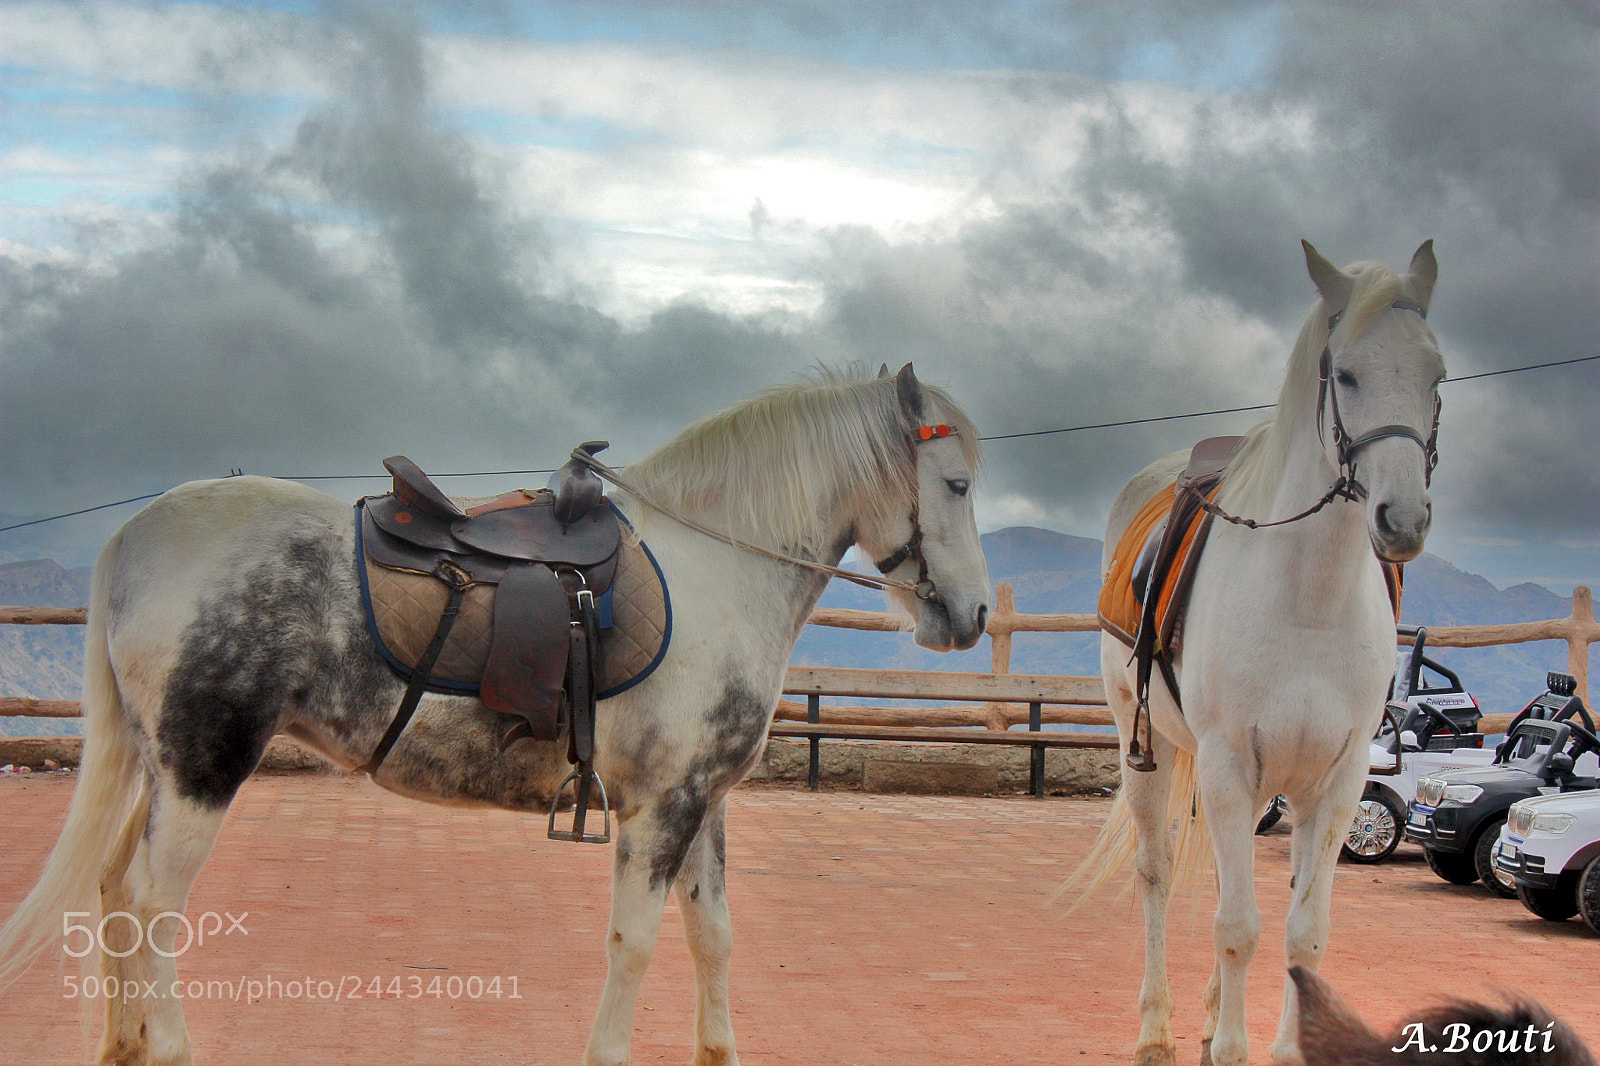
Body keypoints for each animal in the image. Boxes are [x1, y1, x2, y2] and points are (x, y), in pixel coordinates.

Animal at [0, 363, 991, 1066]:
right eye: (954, 484)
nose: (973, 615)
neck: (716, 569)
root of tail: (136, 536)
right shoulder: (659, 808)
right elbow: (635, 942)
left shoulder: (703, 802)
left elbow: (713, 938)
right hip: (206, 763)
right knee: (152, 903)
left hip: (159, 764)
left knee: (114, 893)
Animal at [1074, 241, 1445, 1066]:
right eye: (1346, 373)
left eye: (1436, 374)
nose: (1401, 519)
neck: (1308, 600)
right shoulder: (1226, 765)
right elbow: (1238, 927)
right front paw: (1230, 1049)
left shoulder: (1336, 782)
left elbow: (1304, 935)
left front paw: (1278, 1045)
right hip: (1147, 748)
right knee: (1157, 874)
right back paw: (1158, 1028)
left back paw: (1212, 1014)